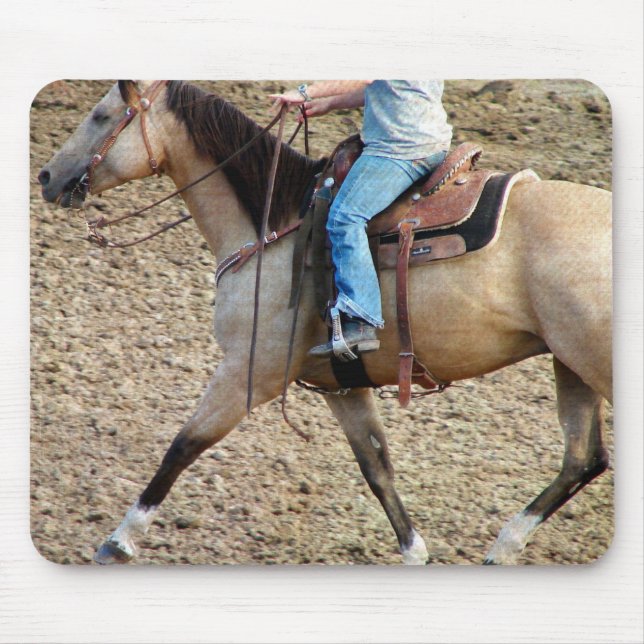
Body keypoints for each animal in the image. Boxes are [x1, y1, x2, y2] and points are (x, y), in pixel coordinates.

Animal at [37, 80, 612, 565]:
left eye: (101, 115)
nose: (46, 177)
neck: (272, 227)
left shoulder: (252, 371)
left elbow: (183, 445)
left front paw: (118, 541)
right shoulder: (343, 386)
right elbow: (378, 467)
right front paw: (415, 554)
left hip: (591, 361)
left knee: (585, 459)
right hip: (570, 363)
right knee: (583, 459)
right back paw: (504, 546)